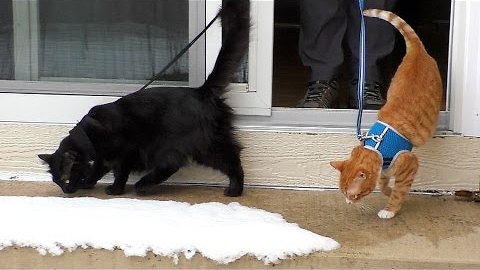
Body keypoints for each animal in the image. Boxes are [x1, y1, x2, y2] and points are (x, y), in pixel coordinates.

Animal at [39, 0, 249, 198]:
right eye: (57, 182)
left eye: (65, 179)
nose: (66, 191)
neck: (90, 136)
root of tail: (201, 91)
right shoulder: (104, 158)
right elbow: (96, 170)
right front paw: (88, 183)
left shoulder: (126, 152)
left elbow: (120, 172)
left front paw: (115, 189)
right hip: (203, 144)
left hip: (186, 144)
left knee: (190, 163)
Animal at [330, 8, 442, 219]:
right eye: (343, 193)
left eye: (354, 195)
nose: (348, 203)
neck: (377, 147)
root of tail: (416, 50)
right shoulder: (384, 168)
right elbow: (383, 182)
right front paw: (387, 190)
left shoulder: (409, 163)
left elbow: (399, 191)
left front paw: (390, 209)